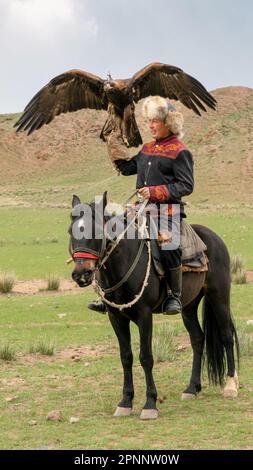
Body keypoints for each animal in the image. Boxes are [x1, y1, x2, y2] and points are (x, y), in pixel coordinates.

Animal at [69, 193, 239, 420]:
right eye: (70, 231)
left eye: (96, 231)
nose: (81, 274)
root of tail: (213, 238)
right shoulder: (115, 316)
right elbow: (126, 357)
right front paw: (125, 402)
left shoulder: (144, 315)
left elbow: (146, 357)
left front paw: (150, 404)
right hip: (188, 306)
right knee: (197, 338)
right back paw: (192, 388)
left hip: (218, 296)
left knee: (226, 335)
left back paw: (230, 385)